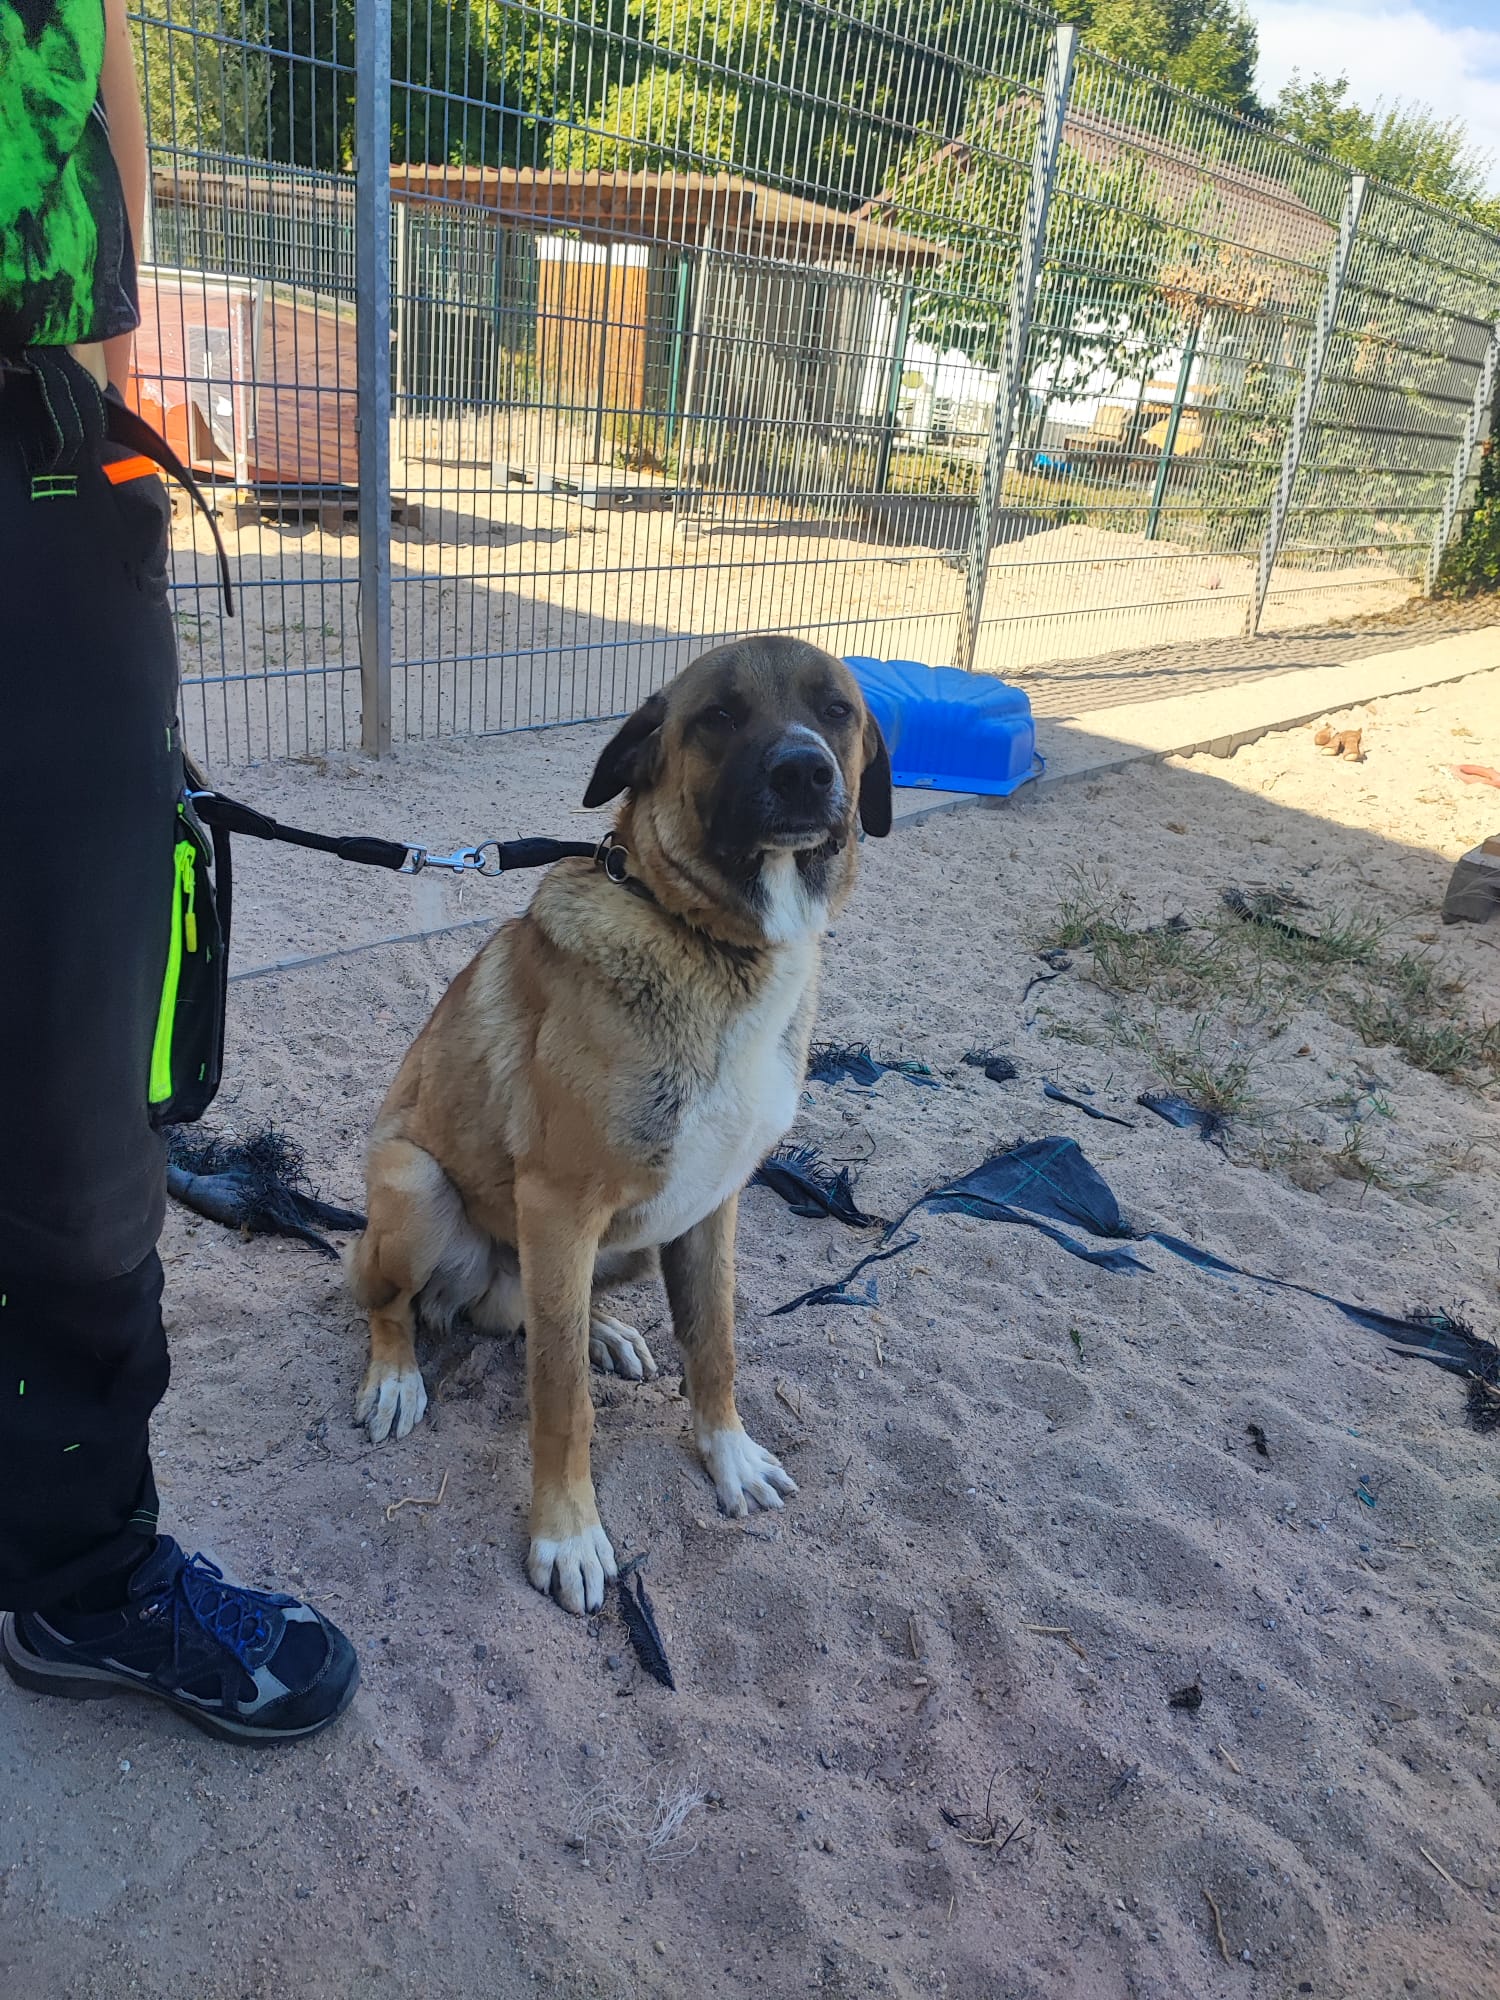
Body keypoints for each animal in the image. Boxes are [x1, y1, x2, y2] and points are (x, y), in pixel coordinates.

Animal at [347, 635, 892, 1613]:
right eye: (718, 715)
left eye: (836, 710)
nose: (804, 771)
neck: (713, 944)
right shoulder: (559, 1206)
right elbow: (561, 1400)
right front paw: (568, 1535)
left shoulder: (712, 1206)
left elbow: (714, 1343)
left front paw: (727, 1454)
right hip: (416, 1189)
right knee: (397, 1304)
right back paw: (397, 1376)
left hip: (634, 1238)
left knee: (545, 1316)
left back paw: (601, 1327)